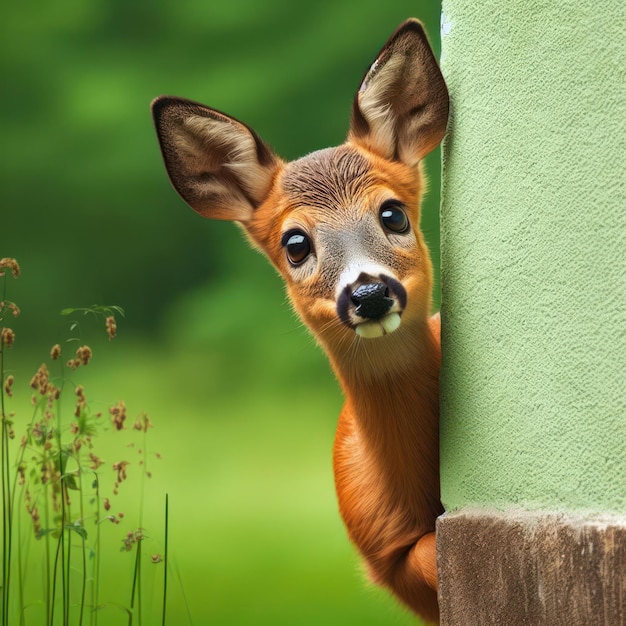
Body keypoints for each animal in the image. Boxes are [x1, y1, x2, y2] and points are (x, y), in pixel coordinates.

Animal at [149, 18, 446, 620]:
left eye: (392, 213)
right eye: (295, 243)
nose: (369, 293)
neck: (410, 499)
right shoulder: (388, 559)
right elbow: (424, 556)